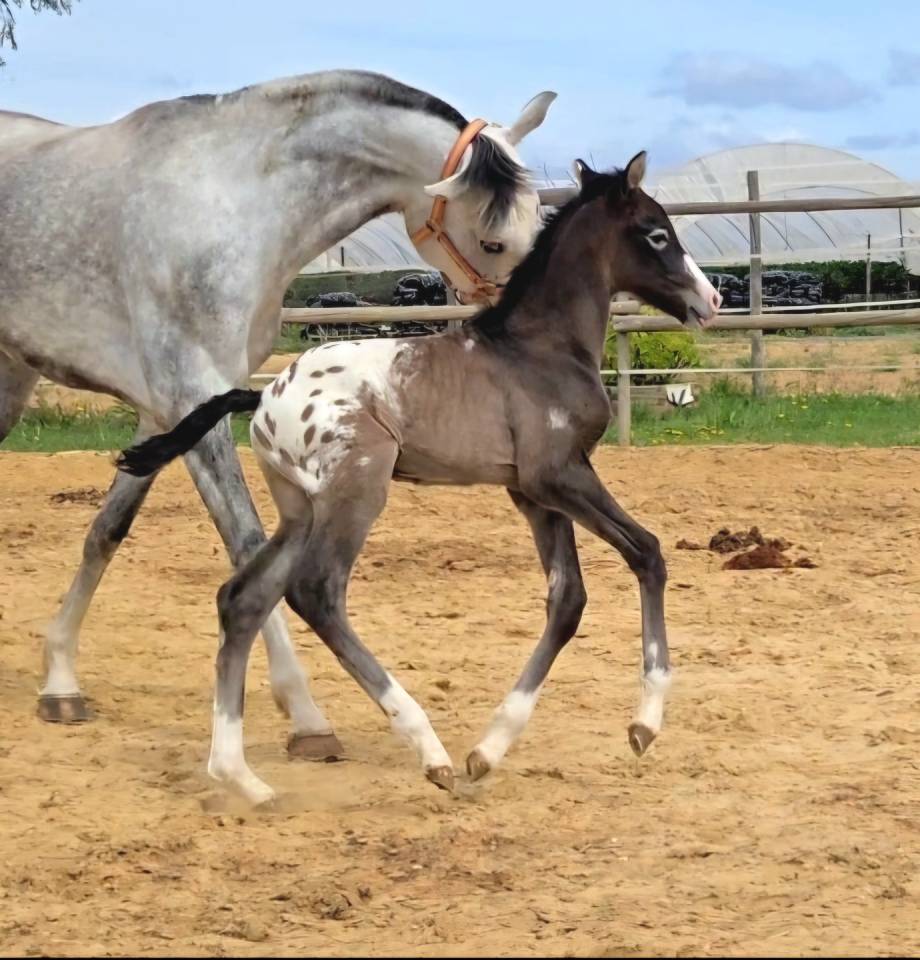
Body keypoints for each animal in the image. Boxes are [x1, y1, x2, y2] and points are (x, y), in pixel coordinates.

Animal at [0, 70, 555, 757]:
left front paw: (60, 679)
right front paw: (306, 715)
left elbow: (106, 532)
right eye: (493, 240)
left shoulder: (168, 413)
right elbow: (246, 547)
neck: (236, 202)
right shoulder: (194, 396)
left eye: (540, 227)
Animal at [118, 152, 723, 806]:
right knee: (316, 591)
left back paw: (241, 778)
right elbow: (648, 553)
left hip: (302, 509)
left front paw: (489, 750)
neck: (541, 349)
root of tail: (265, 394)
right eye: (657, 234)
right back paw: (427, 750)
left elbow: (568, 600)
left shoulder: (532, 492)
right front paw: (644, 724)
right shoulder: (560, 475)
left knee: (243, 598)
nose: (712, 299)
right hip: (358, 491)